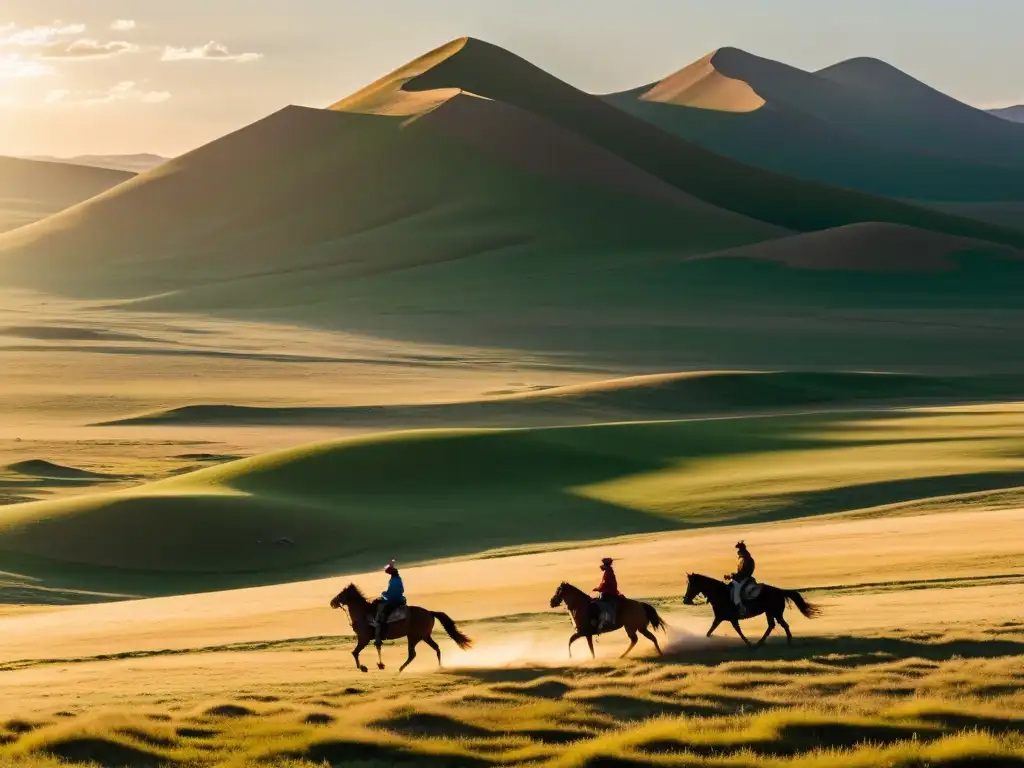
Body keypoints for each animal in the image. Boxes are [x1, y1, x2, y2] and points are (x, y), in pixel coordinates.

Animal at [327, 581, 471, 671]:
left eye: (341, 593)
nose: (332, 602)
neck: (363, 613)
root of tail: (430, 612)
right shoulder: (367, 639)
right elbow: (369, 648)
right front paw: (378, 665)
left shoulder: (364, 638)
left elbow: (355, 652)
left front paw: (363, 667)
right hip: (423, 636)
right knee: (434, 648)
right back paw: (439, 667)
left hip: (414, 636)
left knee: (413, 654)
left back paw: (401, 669)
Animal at [684, 573, 819, 651]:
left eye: (690, 584)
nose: (685, 600)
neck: (720, 594)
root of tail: (780, 591)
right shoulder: (722, 618)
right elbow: (712, 630)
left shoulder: (725, 618)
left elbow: (733, 631)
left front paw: (748, 643)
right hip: (769, 612)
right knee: (771, 625)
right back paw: (760, 643)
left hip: (776, 612)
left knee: (783, 625)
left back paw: (788, 642)